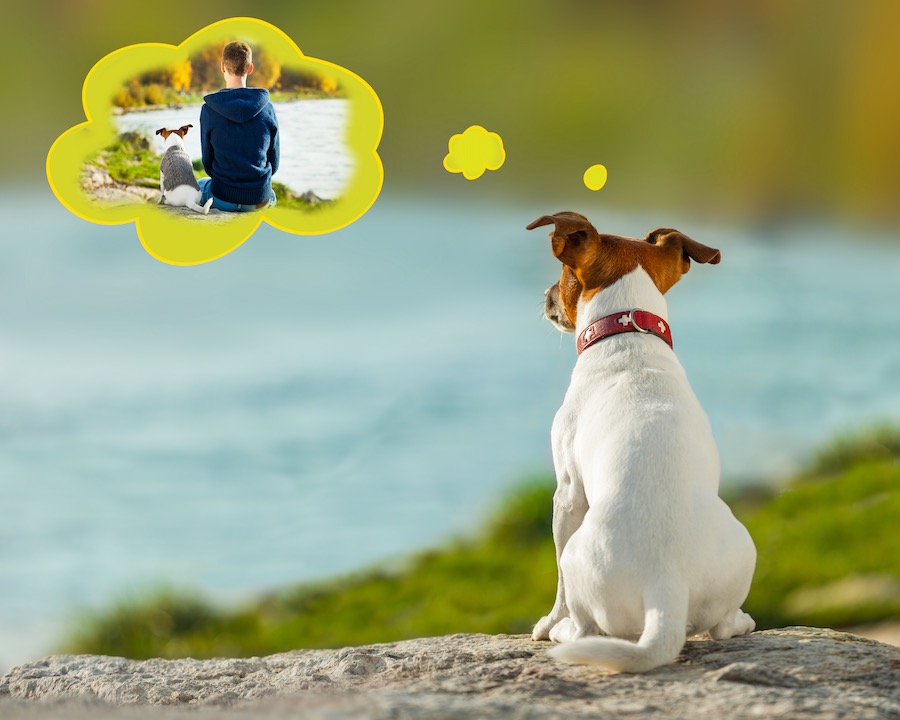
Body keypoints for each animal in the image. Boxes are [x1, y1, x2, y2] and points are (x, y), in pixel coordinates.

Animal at [532, 211, 756, 672]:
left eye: (563, 275)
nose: (545, 295)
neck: (628, 333)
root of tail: (665, 586)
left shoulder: (567, 493)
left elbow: (557, 583)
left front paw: (547, 623)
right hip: (745, 550)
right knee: (722, 625)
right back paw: (742, 621)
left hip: (580, 555)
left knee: (584, 625)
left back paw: (564, 631)